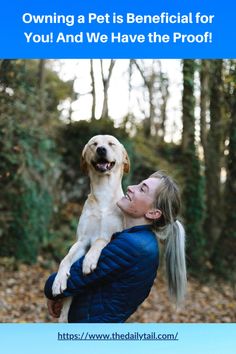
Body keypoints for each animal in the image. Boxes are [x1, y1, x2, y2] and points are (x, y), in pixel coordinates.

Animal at [51, 134, 130, 322]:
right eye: (94, 144)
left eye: (111, 144)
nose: (101, 149)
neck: (103, 194)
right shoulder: (82, 240)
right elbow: (66, 258)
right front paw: (58, 280)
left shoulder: (113, 235)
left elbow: (100, 240)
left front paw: (89, 260)